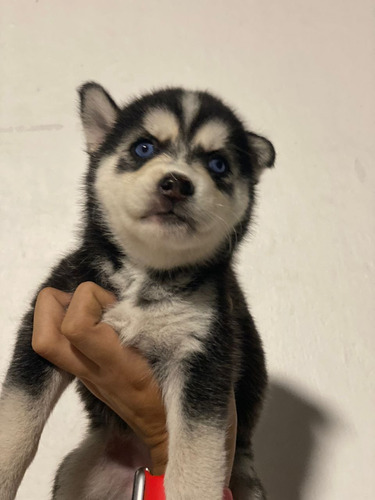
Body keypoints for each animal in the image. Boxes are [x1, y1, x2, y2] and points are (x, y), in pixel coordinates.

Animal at [0, 84, 276, 498]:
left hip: (243, 476)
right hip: (76, 468)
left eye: (218, 165)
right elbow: (18, 417)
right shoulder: (48, 314)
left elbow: (196, 454)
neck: (145, 274)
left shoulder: (202, 353)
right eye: (144, 148)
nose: (176, 183)